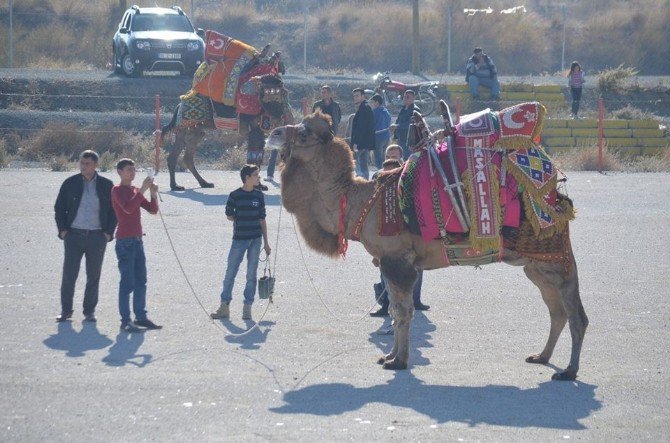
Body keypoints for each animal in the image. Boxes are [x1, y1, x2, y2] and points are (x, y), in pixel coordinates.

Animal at [160, 30, 294, 191]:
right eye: (279, 93)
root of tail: (179, 106)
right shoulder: (254, 129)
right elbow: (253, 157)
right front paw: (258, 185)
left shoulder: (259, 130)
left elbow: (258, 156)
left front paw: (260, 185)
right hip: (185, 128)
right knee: (177, 157)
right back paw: (176, 186)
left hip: (196, 131)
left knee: (186, 158)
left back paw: (203, 183)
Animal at [266, 103, 588, 382]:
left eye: (304, 133)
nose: (273, 132)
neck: (361, 203)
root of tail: (556, 196)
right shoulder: (388, 262)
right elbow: (395, 311)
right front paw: (389, 357)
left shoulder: (398, 261)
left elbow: (403, 312)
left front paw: (399, 361)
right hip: (535, 265)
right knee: (556, 310)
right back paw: (542, 357)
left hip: (555, 255)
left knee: (575, 314)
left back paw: (569, 371)